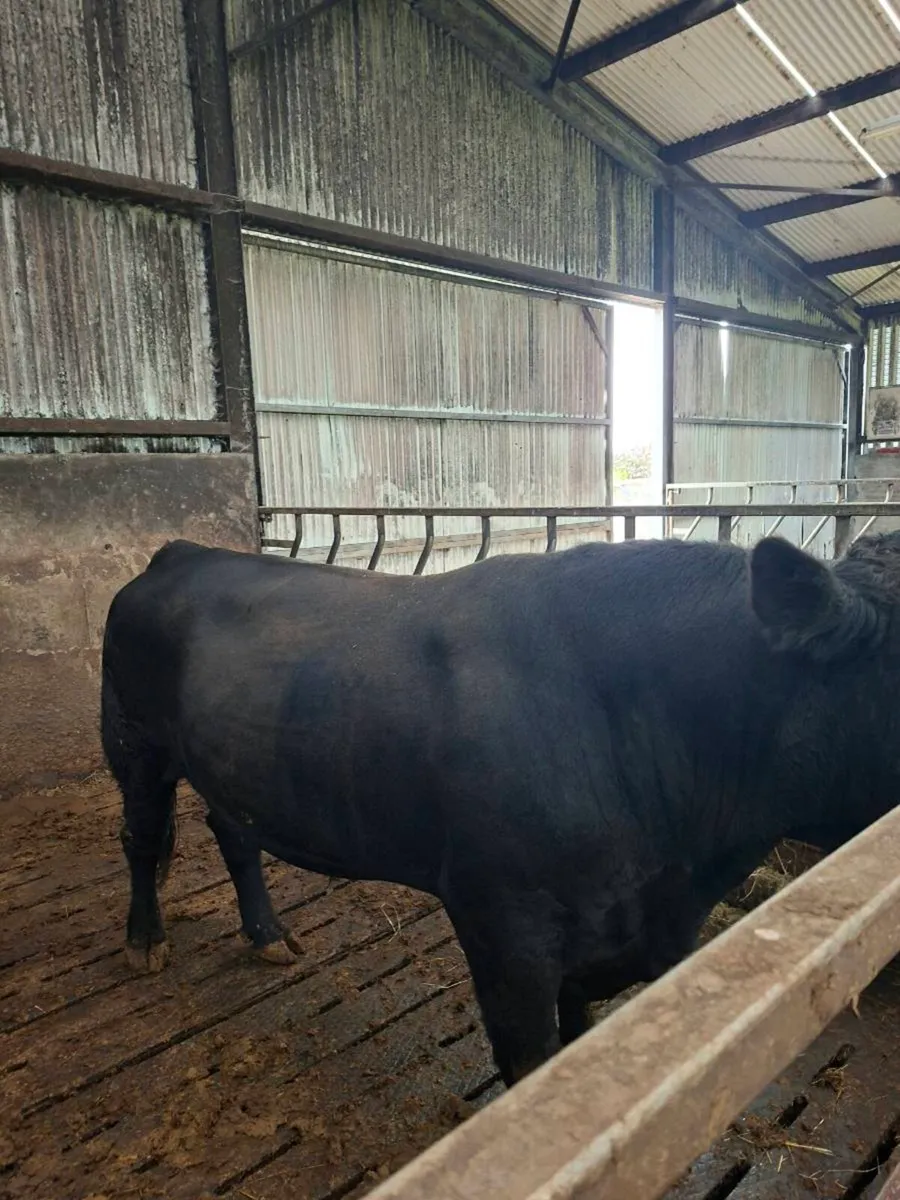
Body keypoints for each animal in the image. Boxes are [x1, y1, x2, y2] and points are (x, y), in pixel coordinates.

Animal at [101, 532, 899, 1087]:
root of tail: (183, 553)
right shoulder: (503, 924)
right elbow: (530, 1063)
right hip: (134, 741)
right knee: (141, 839)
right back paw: (145, 941)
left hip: (226, 761)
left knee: (232, 832)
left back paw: (266, 934)